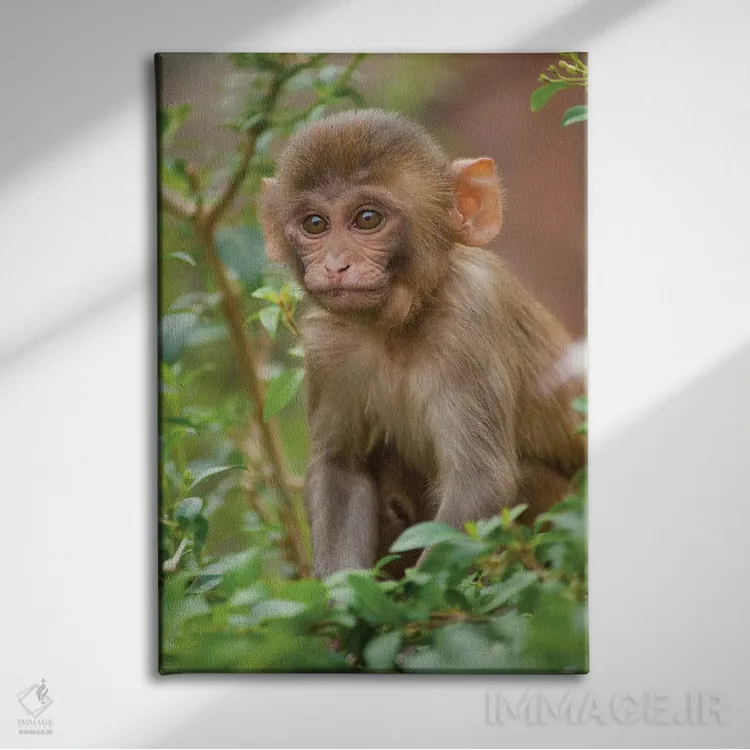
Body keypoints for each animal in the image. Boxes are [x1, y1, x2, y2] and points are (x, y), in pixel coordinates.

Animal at [260, 109, 586, 577]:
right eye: (315, 224)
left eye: (367, 219)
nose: (336, 265)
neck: (398, 327)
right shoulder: (325, 345)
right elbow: (341, 469)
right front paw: (341, 597)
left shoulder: (470, 319)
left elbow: (480, 484)